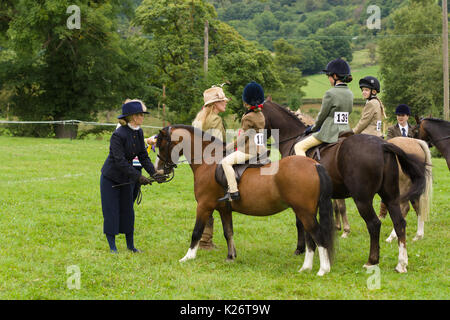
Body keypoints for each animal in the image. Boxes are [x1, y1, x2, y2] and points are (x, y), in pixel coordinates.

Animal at [155, 124, 334, 276]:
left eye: (161, 145)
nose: (159, 172)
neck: (208, 162)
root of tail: (313, 164)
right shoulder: (224, 209)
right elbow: (228, 232)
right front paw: (230, 257)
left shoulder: (204, 206)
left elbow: (196, 232)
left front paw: (188, 257)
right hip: (306, 211)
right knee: (310, 238)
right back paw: (306, 268)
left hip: (304, 212)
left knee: (317, 235)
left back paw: (323, 270)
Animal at [260, 100, 426, 272]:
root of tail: (382, 145)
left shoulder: (299, 199)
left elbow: (300, 223)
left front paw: (300, 249)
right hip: (390, 196)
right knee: (400, 222)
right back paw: (401, 263)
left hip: (363, 199)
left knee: (374, 224)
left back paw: (372, 261)